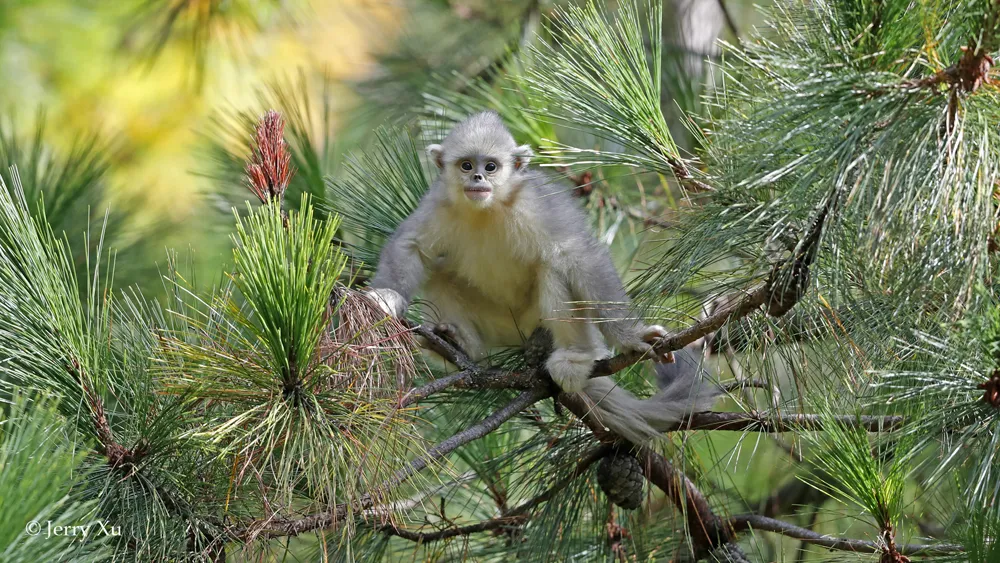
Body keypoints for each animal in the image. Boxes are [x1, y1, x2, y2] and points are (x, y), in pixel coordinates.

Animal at [368, 111, 720, 446]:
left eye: (491, 166)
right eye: (466, 165)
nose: (478, 177)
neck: (488, 210)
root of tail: (519, 339)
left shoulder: (536, 202)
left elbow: (577, 253)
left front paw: (632, 335)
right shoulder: (439, 202)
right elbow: (410, 246)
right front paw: (386, 298)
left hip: (535, 320)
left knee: (552, 265)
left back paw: (577, 355)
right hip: (494, 326)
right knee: (439, 272)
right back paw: (458, 346)